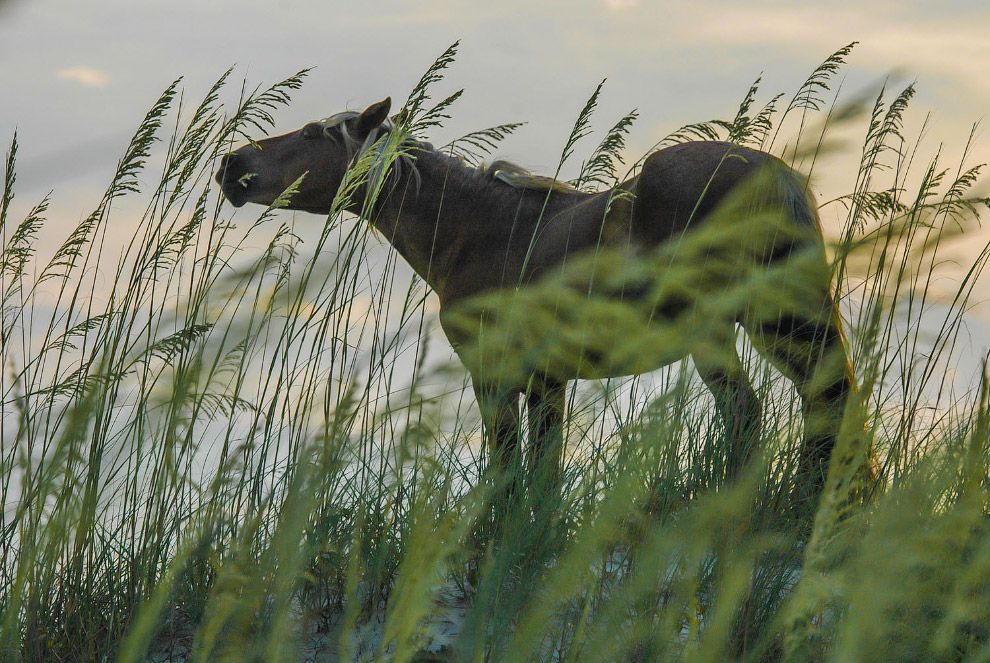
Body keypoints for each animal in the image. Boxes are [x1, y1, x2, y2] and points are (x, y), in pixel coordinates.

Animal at [215, 98, 852, 510]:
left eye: (308, 134)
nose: (230, 166)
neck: (479, 230)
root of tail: (776, 174)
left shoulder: (499, 376)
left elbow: (510, 465)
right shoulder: (547, 380)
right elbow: (540, 468)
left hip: (759, 323)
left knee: (808, 402)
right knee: (784, 405)